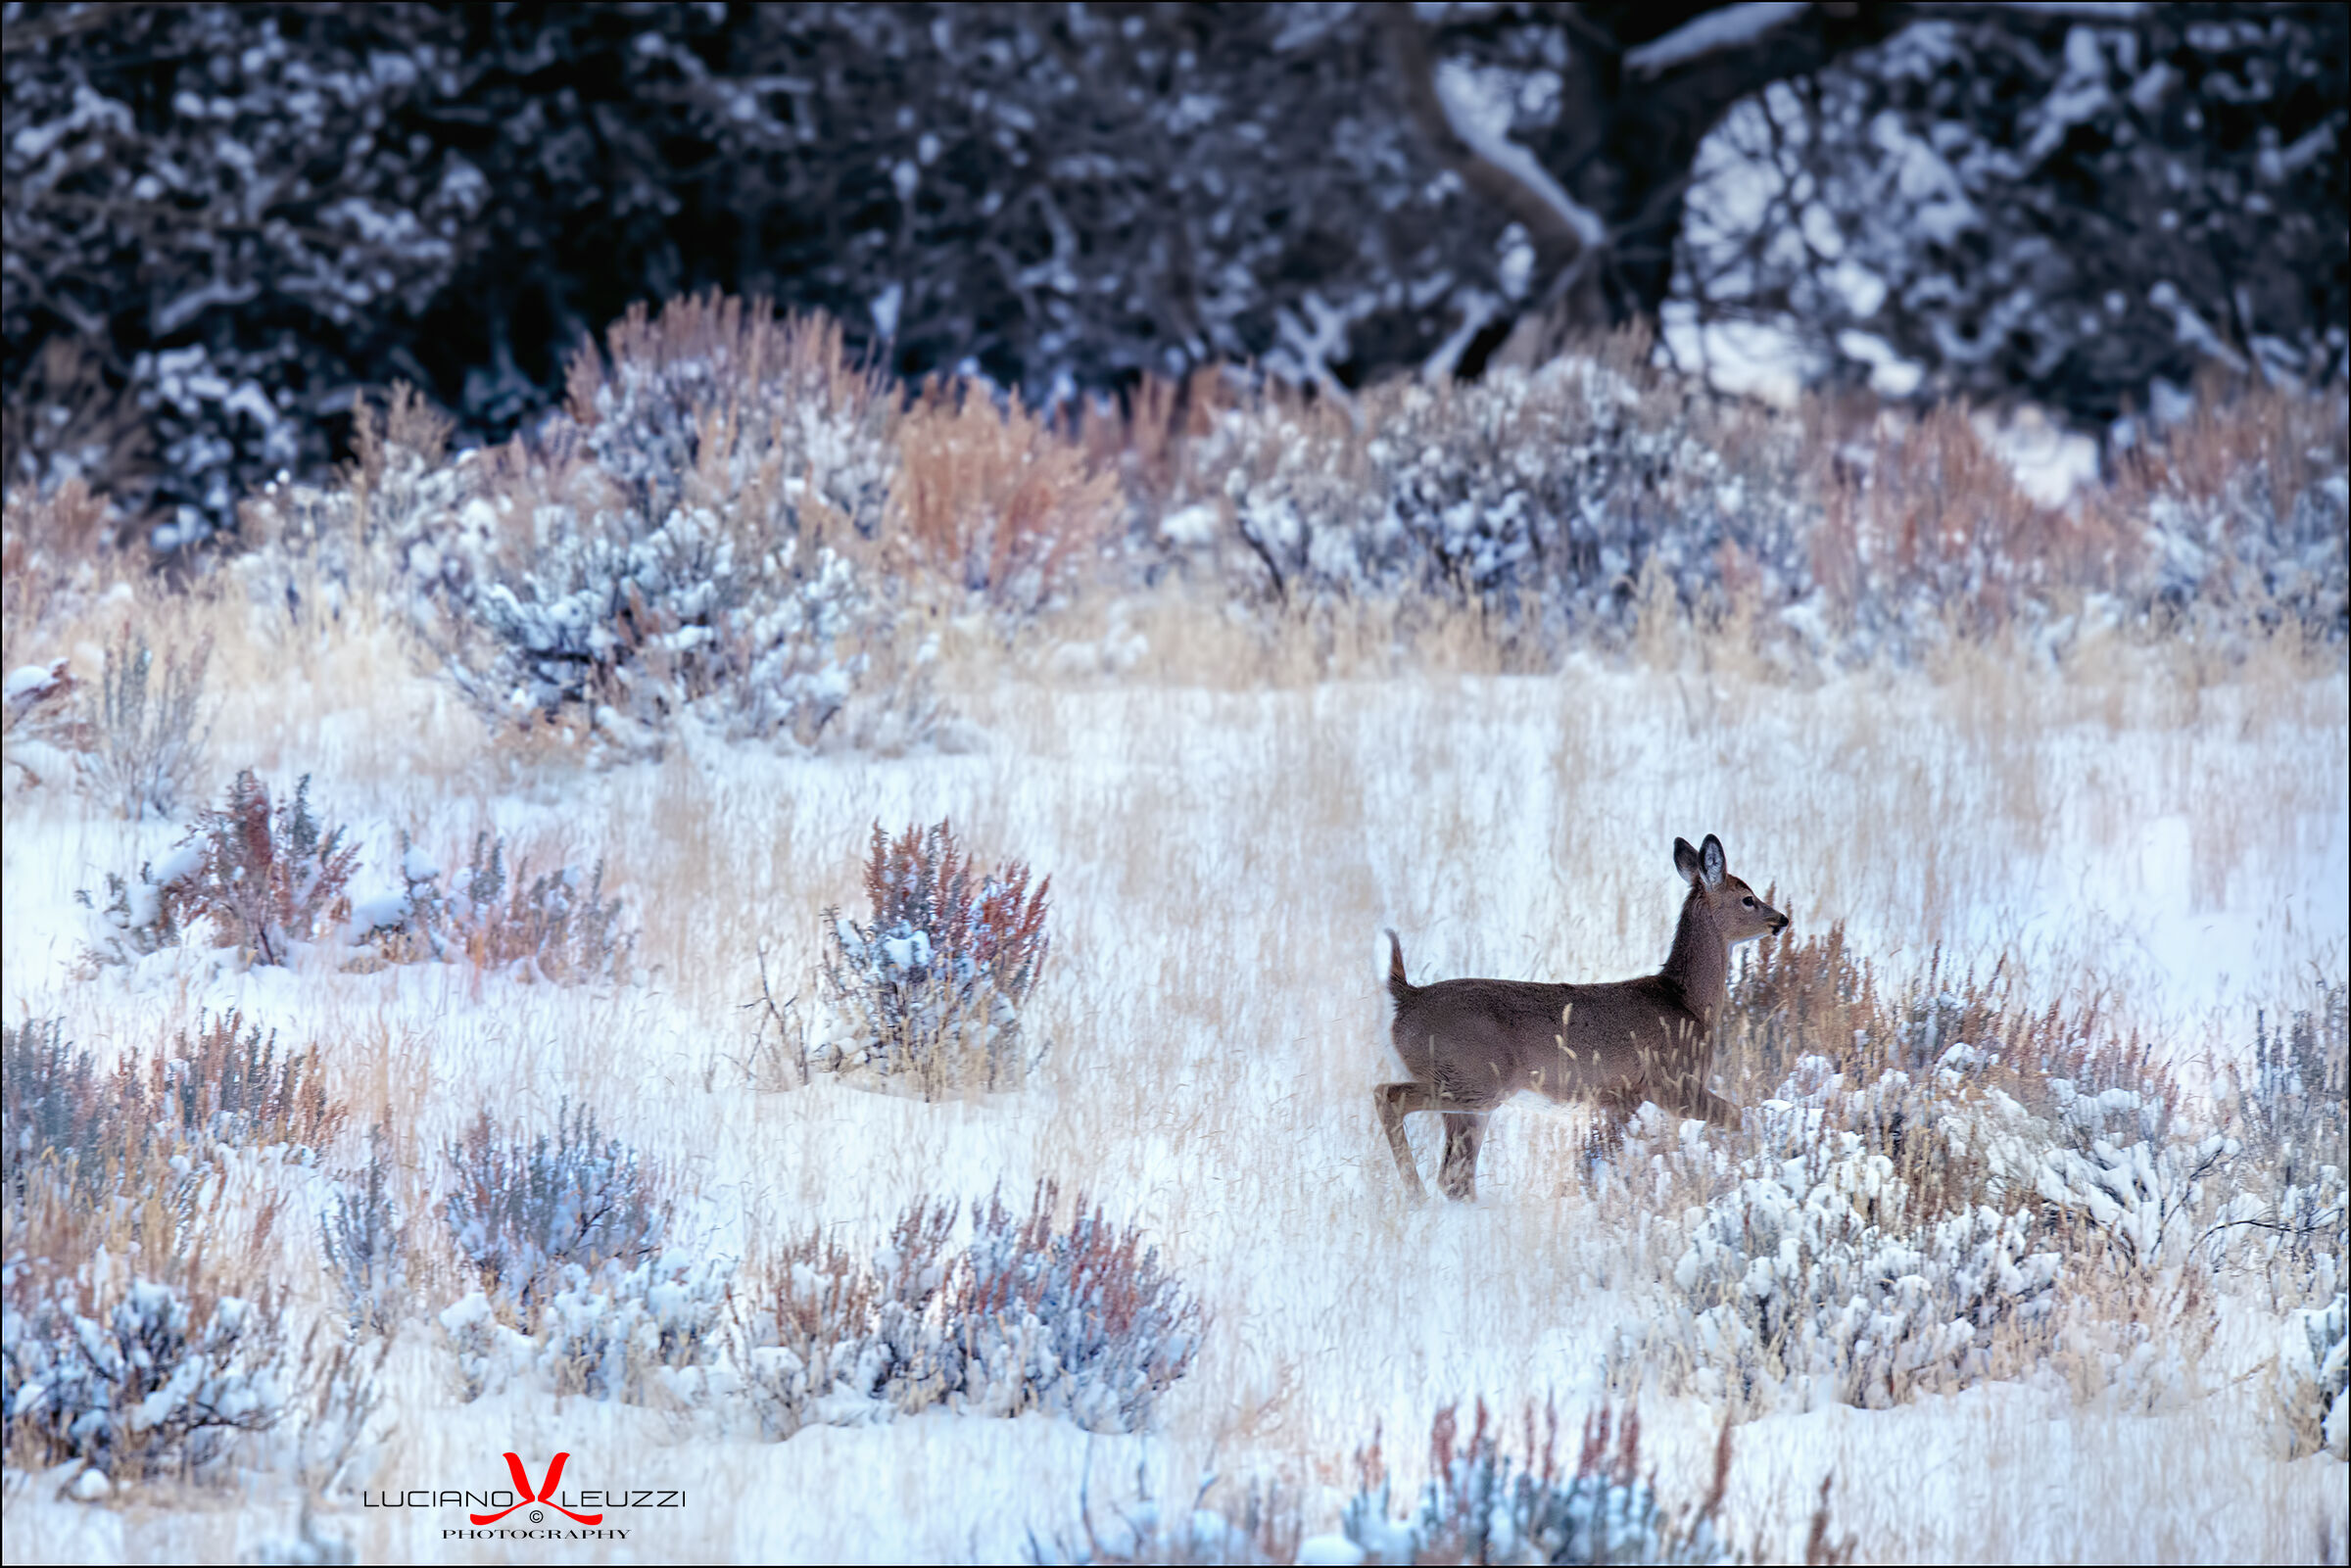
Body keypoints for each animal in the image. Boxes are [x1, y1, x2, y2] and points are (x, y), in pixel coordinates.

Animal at [1374, 833, 1788, 1201]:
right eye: (1748, 898)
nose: (1781, 919)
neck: (1687, 1004)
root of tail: (1407, 996)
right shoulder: (1672, 1083)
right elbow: (1739, 1117)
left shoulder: (1618, 1098)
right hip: (1473, 1079)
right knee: (1389, 1098)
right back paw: (1415, 1195)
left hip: (1471, 1095)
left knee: (1455, 1177)